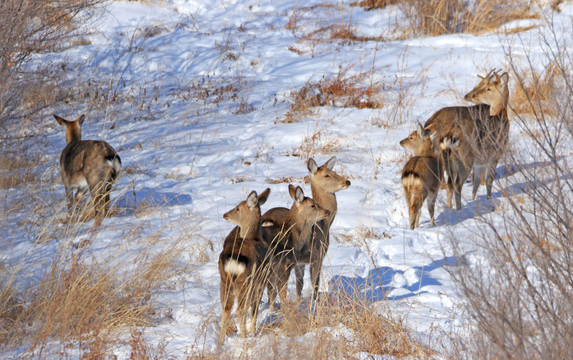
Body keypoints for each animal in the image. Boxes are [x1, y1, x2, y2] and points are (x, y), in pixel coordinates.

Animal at [220, 188, 272, 344]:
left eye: (237, 208)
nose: (225, 214)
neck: (255, 237)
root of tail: (233, 260)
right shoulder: (261, 281)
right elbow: (254, 310)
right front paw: (253, 332)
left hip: (225, 281)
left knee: (226, 310)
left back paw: (220, 343)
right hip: (246, 282)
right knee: (240, 310)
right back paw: (244, 340)